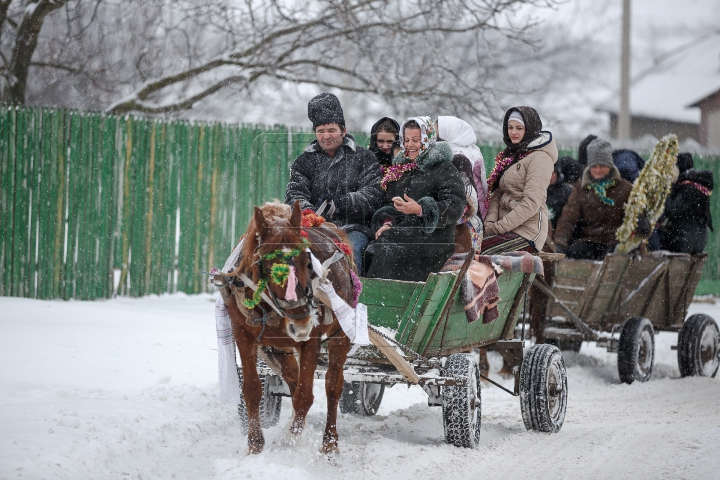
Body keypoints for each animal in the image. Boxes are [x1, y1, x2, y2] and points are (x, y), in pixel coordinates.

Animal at [219, 200, 354, 454]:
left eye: (307, 262)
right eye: (268, 265)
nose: (301, 321)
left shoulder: (311, 340)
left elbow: (305, 396)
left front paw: (289, 441)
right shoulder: (243, 334)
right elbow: (252, 390)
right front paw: (255, 446)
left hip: (340, 336)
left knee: (333, 384)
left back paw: (329, 443)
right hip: (280, 347)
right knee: (293, 378)